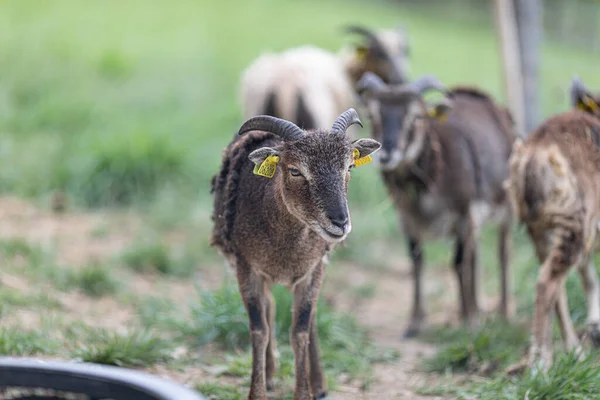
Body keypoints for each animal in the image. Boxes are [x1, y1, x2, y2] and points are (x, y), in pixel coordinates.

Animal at [211, 109, 380, 400]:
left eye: (349, 167)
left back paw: (319, 384)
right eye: (294, 170)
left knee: (309, 319)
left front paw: (305, 392)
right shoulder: (247, 267)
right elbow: (259, 329)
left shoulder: (313, 269)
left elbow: (299, 331)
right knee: (269, 307)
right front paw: (257, 392)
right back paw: (269, 374)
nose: (340, 222)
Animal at [356, 72, 516, 338]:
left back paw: (503, 311)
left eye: (416, 116)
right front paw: (415, 323)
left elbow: (458, 263)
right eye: (373, 115)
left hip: (507, 207)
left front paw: (470, 322)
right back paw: (480, 306)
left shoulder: (464, 213)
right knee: (476, 254)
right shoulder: (408, 219)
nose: (387, 154)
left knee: (502, 252)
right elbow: (417, 262)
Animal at [506, 76, 600, 368]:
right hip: (573, 224)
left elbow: (589, 277)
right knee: (547, 283)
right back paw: (542, 360)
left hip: (541, 229)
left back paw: (573, 349)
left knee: (554, 285)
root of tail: (534, 153)